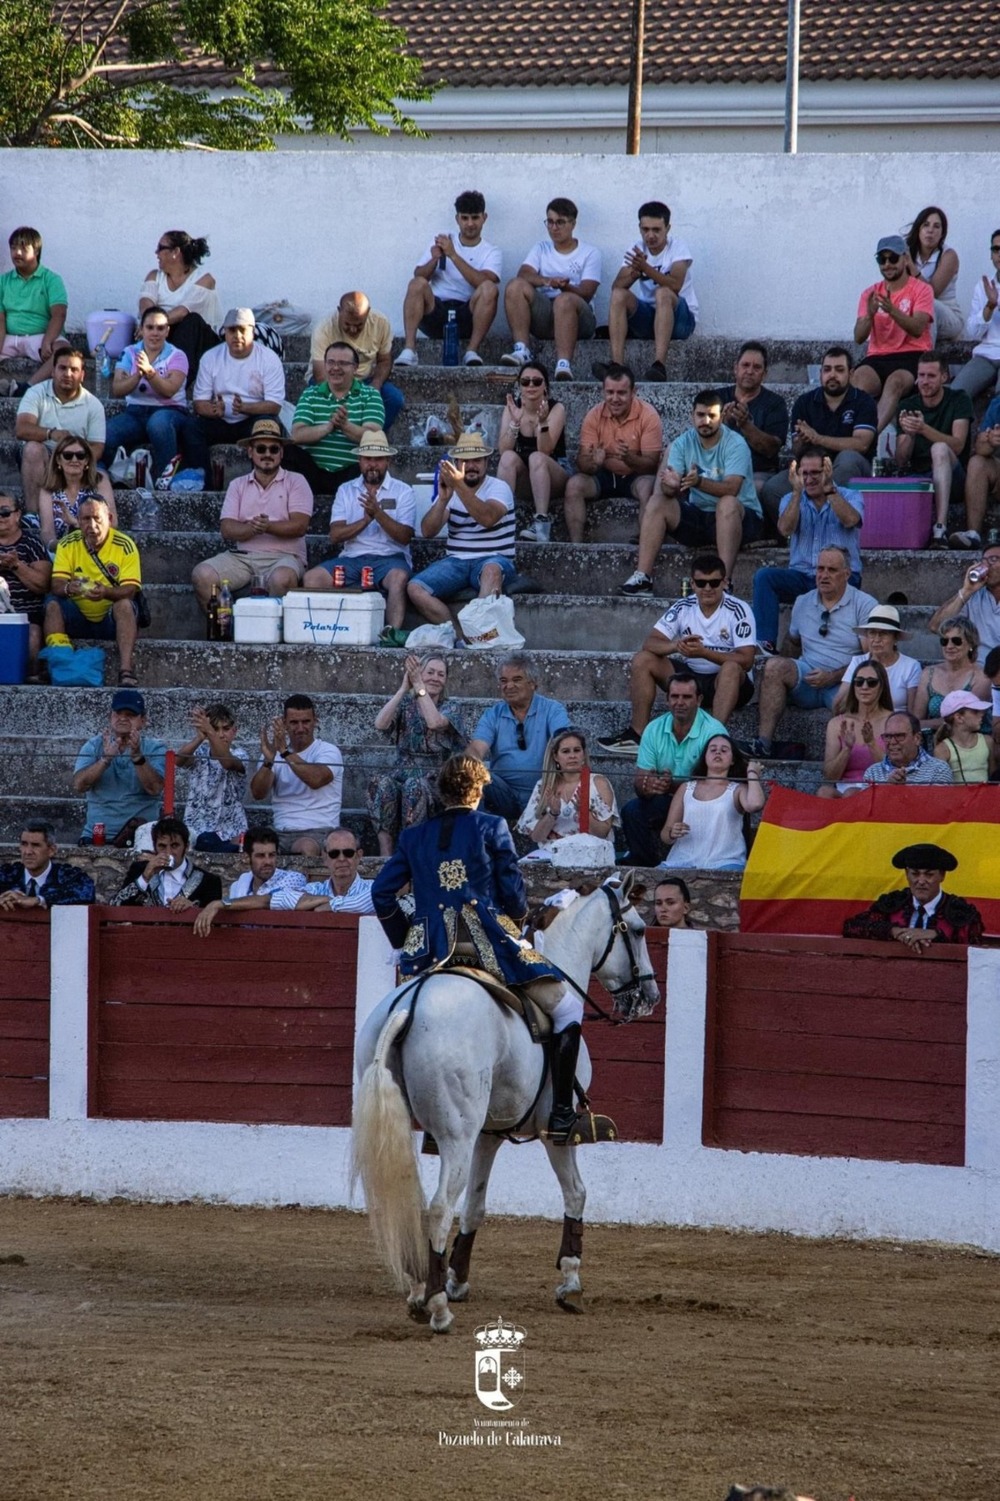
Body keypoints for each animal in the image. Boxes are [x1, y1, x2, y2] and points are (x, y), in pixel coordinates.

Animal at [349, 876, 654, 1332]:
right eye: (637, 930)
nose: (649, 996)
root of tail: (410, 1004)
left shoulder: (489, 1133)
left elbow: (476, 1205)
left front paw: (458, 1279)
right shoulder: (552, 1133)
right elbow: (576, 1192)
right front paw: (570, 1282)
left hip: (411, 1126)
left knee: (415, 1201)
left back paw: (421, 1290)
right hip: (457, 1134)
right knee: (438, 1207)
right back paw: (436, 1307)